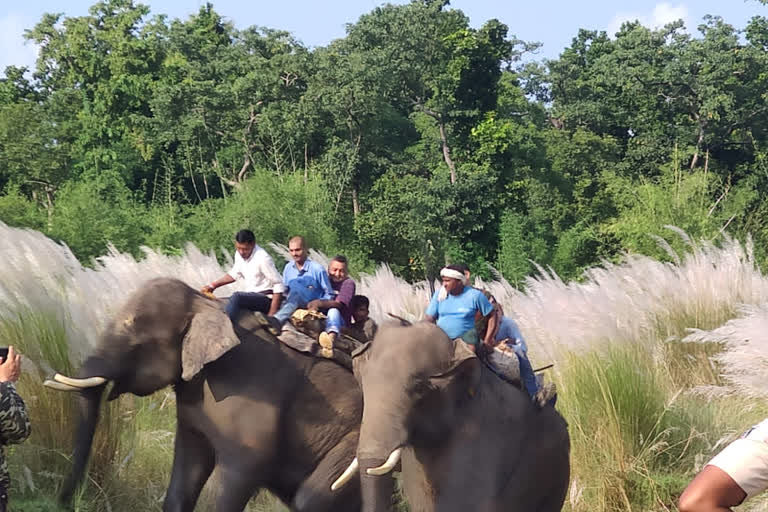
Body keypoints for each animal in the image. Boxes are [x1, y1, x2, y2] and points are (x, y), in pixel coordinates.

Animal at [44, 278, 376, 510]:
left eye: (136, 337)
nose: (63, 501)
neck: (203, 304)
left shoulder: (252, 389)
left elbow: (242, 470)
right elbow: (188, 464)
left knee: (313, 499)